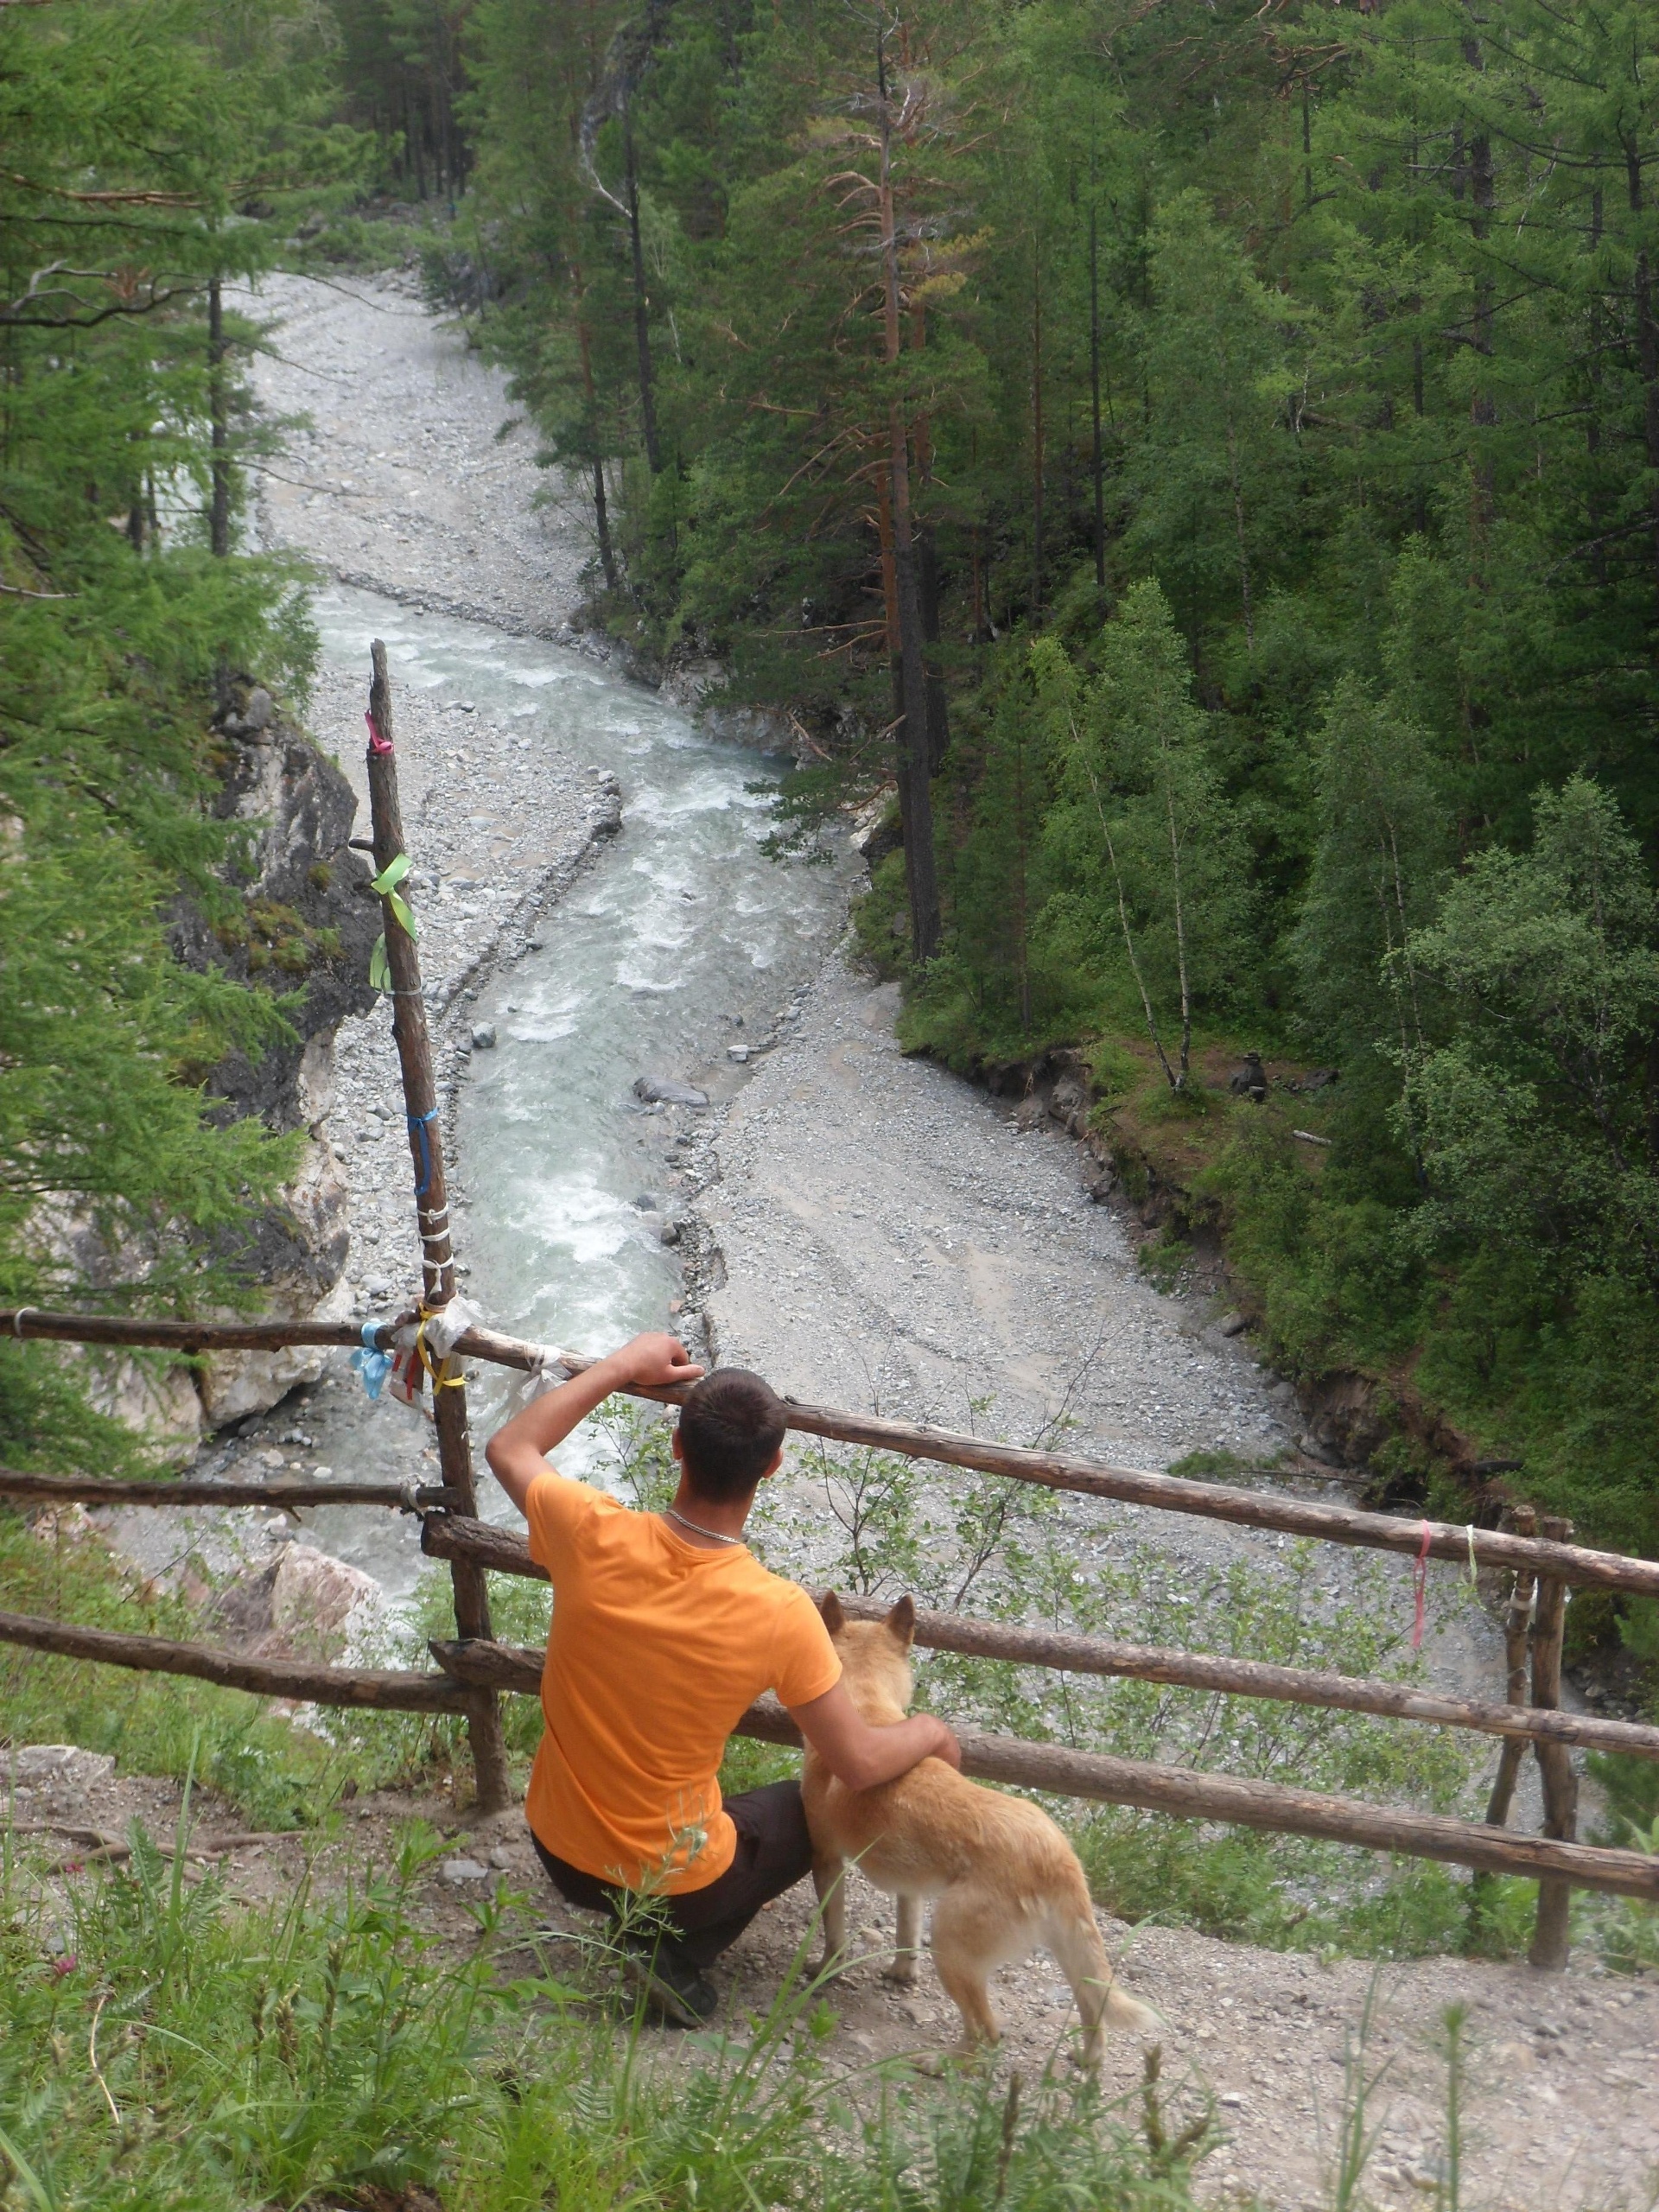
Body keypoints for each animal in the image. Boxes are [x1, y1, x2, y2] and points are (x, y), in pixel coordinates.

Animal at [804, 1601, 1159, 2061]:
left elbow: (834, 1935)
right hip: (1070, 1952)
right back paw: (1084, 2061)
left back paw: (941, 2064)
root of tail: (1054, 1853)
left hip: (953, 1948)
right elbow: (906, 1932)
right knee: (1092, 2015)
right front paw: (901, 1973)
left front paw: (823, 1970)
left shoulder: (827, 1860)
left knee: (985, 2032)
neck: (866, 1704)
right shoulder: (910, 1887)